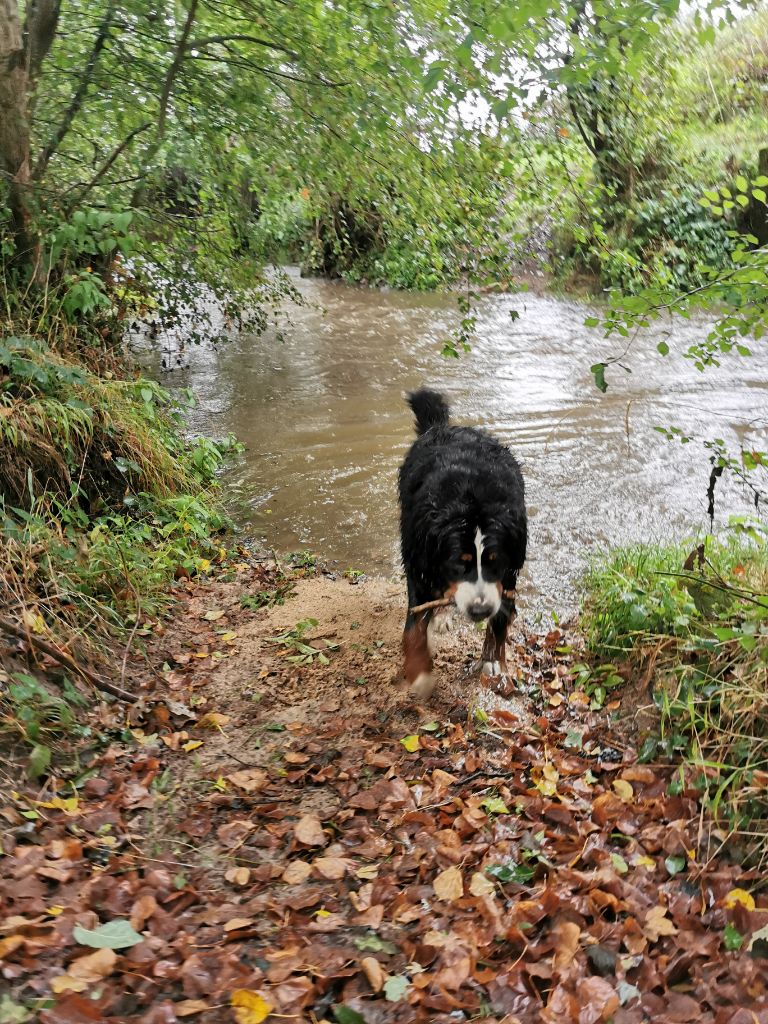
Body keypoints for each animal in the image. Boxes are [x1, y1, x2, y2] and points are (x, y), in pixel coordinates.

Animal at [397, 387, 528, 700]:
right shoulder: (418, 560)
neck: (471, 498)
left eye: (495, 562)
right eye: (458, 564)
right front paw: (419, 672)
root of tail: (442, 428)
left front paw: (493, 661)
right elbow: (413, 628)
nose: (479, 611)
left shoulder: (508, 573)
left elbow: (500, 619)